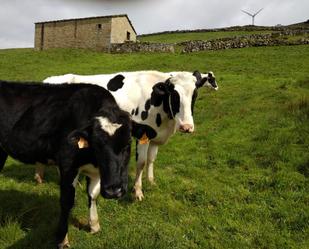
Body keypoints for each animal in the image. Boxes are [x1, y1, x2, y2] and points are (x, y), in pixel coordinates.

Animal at [0, 80, 131, 248]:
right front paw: (62, 239)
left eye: (128, 144)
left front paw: (94, 225)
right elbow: (67, 201)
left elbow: (93, 194)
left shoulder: (96, 171)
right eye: (97, 145)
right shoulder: (67, 164)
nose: (114, 191)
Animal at [43, 70, 218, 200]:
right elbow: (141, 162)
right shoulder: (142, 135)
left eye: (194, 94)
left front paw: (151, 182)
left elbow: (151, 159)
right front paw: (138, 191)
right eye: (174, 95)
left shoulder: (155, 136)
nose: (186, 127)